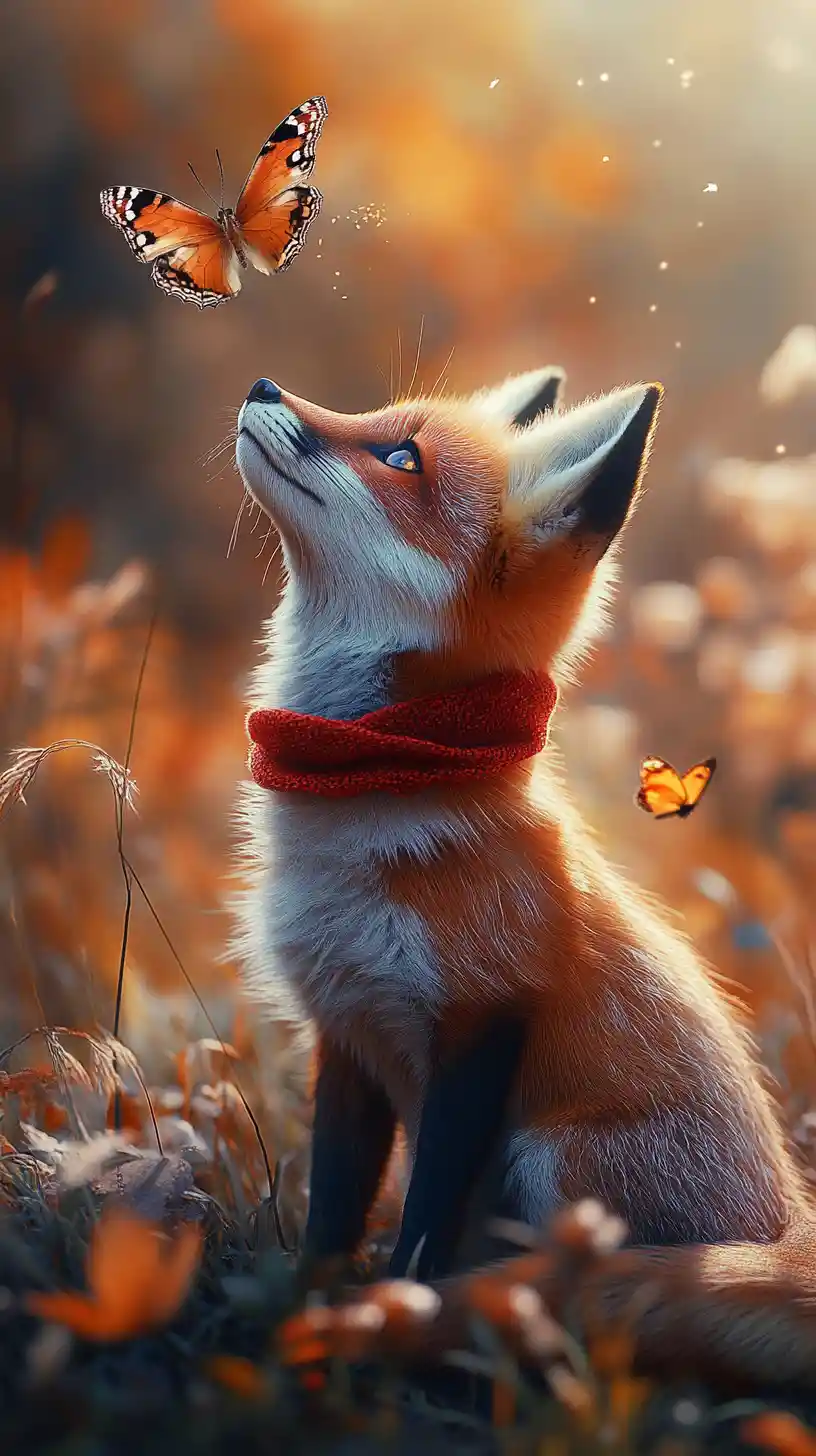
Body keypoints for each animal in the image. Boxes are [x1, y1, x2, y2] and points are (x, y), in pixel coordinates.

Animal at [232, 364, 816, 1391]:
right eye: (381, 423)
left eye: (400, 458)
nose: (264, 383)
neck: (381, 780)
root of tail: (785, 1227)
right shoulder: (346, 1029)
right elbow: (333, 1212)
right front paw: (305, 1316)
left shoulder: (483, 1019)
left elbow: (422, 1225)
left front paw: (389, 1327)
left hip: (559, 1154)